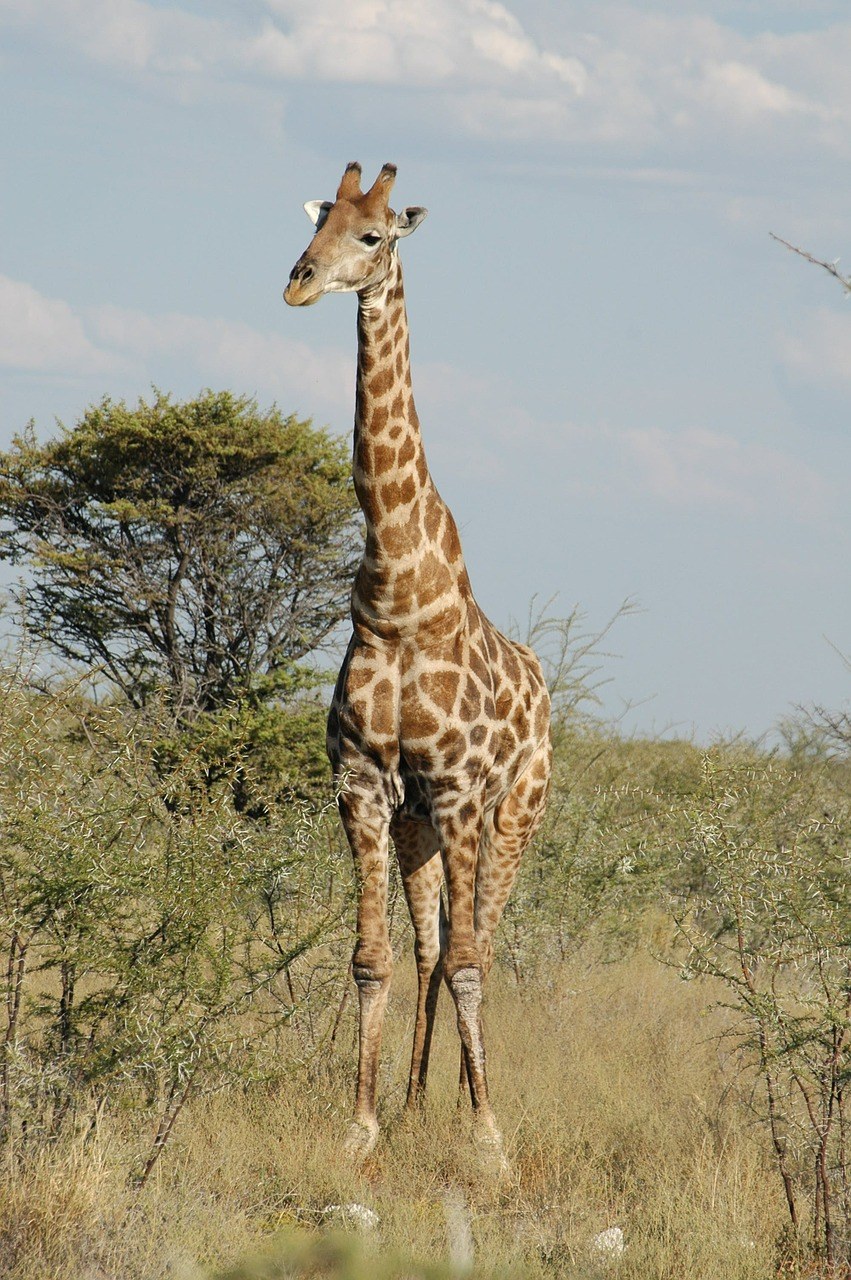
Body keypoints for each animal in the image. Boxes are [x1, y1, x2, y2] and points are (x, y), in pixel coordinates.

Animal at [285, 160, 550, 1162]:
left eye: (372, 236)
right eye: (318, 223)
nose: (298, 282)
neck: (398, 594)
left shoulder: (464, 791)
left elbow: (473, 962)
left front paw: (488, 1139)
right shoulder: (365, 785)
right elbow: (373, 959)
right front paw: (362, 1127)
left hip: (515, 815)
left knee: (480, 944)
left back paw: (465, 1104)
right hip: (419, 827)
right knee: (433, 944)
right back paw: (411, 1102)